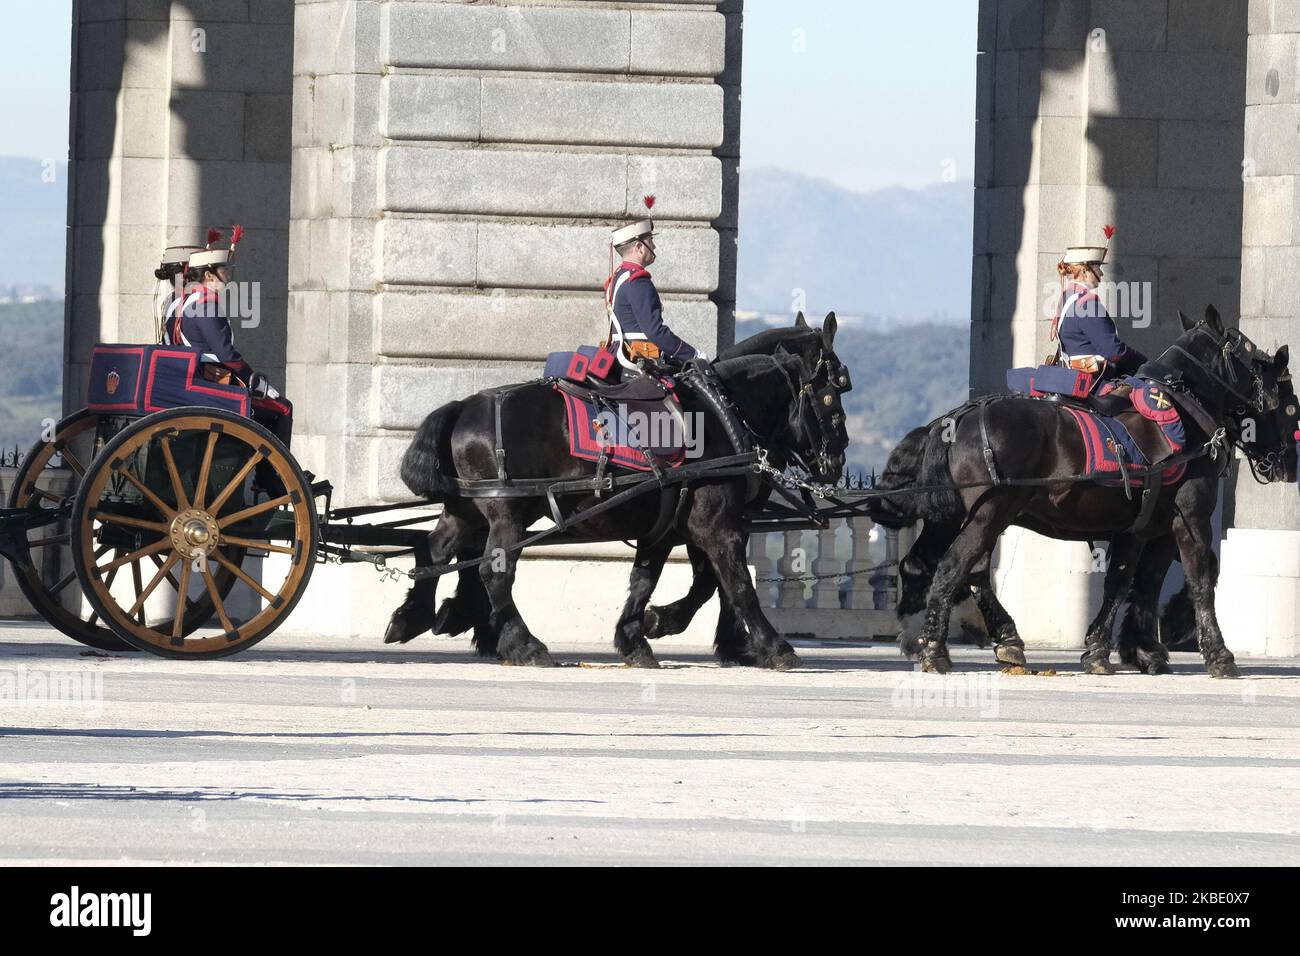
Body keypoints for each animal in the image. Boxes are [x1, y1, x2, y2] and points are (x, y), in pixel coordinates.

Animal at [384, 317, 852, 671]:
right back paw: (523, 644)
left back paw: (414, 617)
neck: (721, 411)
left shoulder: (668, 529)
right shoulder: (718, 526)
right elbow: (735, 584)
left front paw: (641, 634)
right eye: (833, 396)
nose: (837, 460)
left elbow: (651, 581)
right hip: (508, 513)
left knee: (433, 551)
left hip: (466, 511)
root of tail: (464, 405)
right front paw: (772, 646)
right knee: (493, 572)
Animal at [863, 310, 1289, 676]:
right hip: (987, 516)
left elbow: (1126, 583)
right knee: (953, 567)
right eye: (1285, 401)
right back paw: (938, 648)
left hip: (955, 519)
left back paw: (954, 638)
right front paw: (1216, 653)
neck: (1183, 415)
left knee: (933, 566)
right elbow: (1199, 577)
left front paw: (1115, 649)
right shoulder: (1188, 521)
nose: (1285, 459)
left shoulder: (1140, 529)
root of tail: (959, 417)